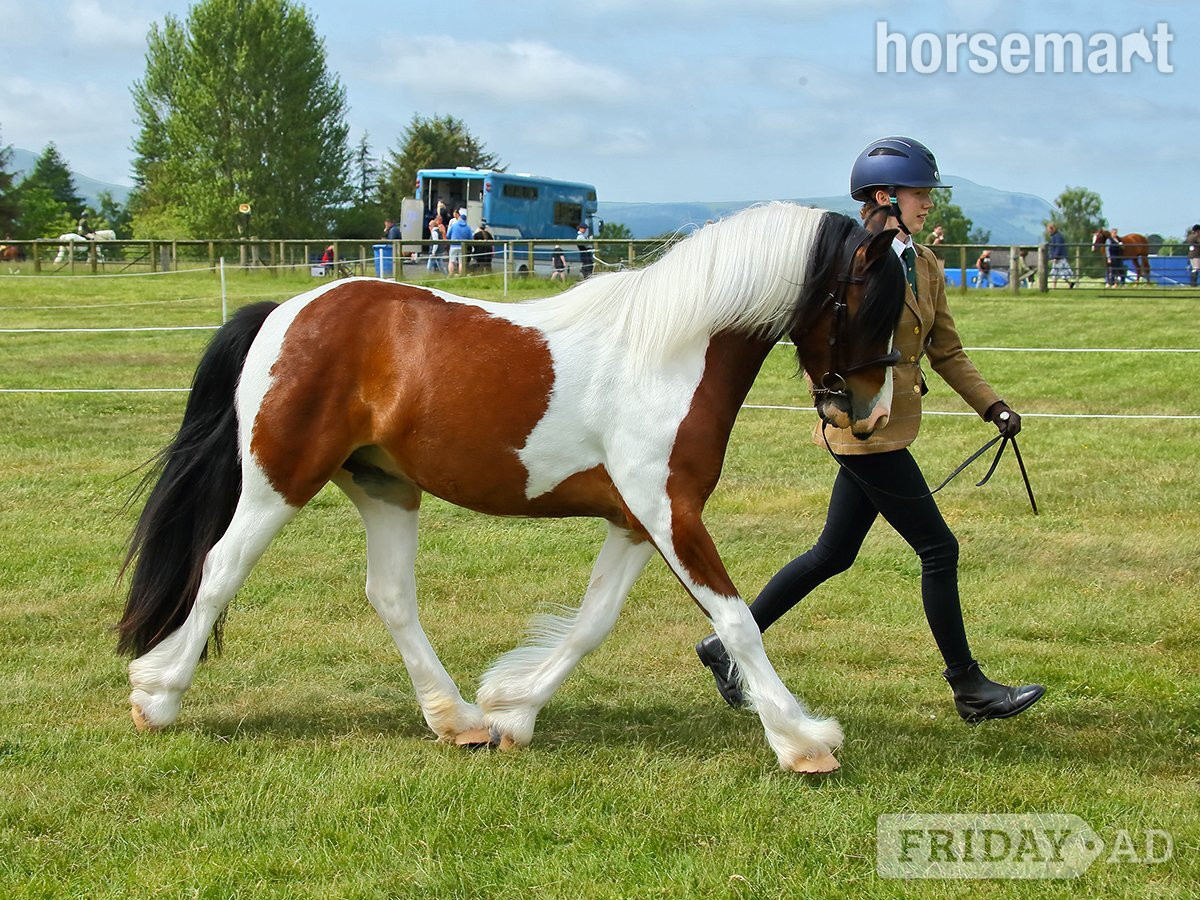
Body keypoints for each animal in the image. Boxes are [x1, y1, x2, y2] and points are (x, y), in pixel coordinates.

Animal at [117, 202, 907, 774]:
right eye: (872, 304)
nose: (870, 413)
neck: (668, 355)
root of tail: (283, 313)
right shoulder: (668, 512)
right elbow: (737, 620)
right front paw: (804, 742)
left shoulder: (635, 521)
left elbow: (593, 623)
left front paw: (512, 711)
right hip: (279, 482)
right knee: (220, 569)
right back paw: (157, 698)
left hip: (385, 487)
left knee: (390, 595)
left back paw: (460, 721)